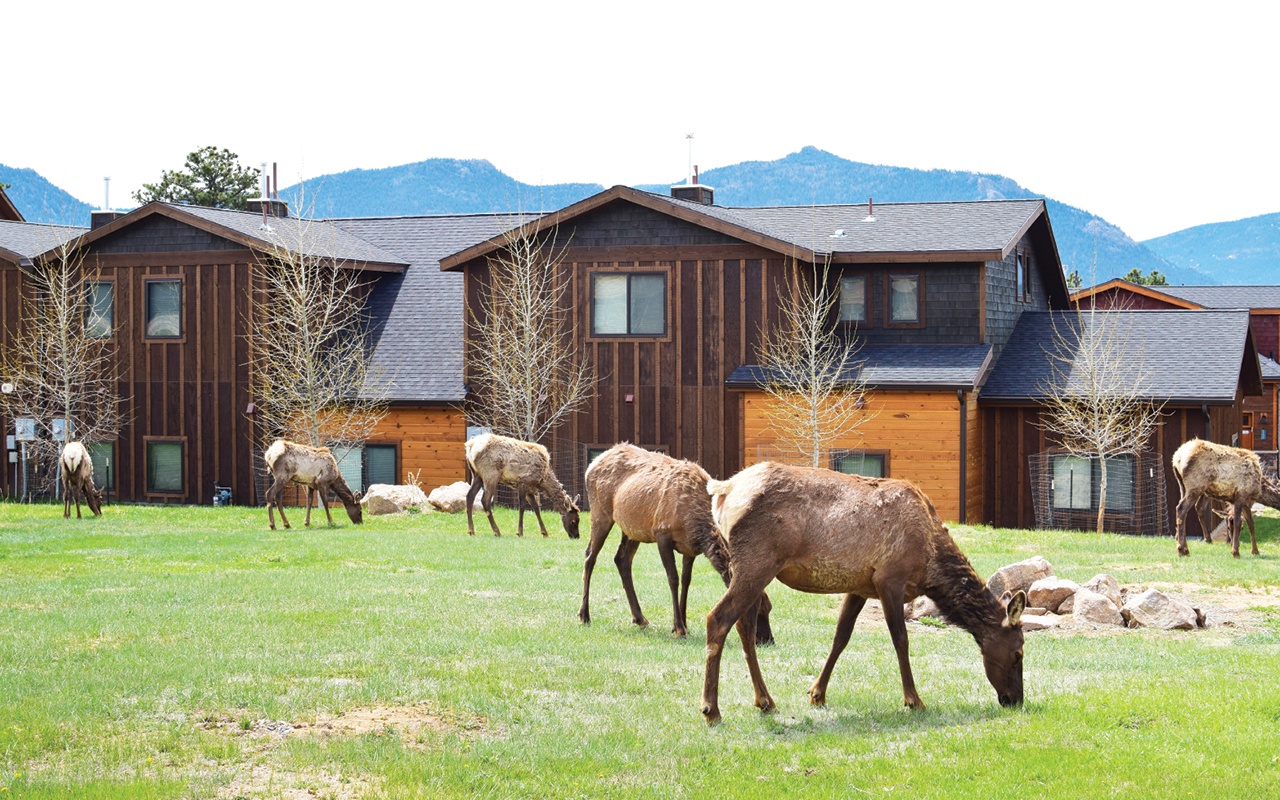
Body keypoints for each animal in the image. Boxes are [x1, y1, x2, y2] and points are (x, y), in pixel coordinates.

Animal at [579, 443, 773, 642]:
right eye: (755, 609)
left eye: (769, 608)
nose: (768, 640)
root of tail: (592, 465)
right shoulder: (662, 533)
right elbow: (673, 578)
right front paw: (679, 628)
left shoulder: (689, 547)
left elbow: (687, 580)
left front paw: (683, 623)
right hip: (601, 513)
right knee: (590, 556)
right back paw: (584, 616)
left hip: (633, 529)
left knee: (621, 559)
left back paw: (640, 618)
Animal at [699, 462, 1026, 725]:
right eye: (1018, 652)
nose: (1015, 700)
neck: (930, 564)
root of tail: (724, 490)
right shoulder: (889, 578)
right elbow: (901, 639)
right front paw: (914, 700)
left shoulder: (859, 586)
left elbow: (840, 637)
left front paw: (817, 694)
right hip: (757, 562)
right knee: (718, 618)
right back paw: (711, 710)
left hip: (748, 567)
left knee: (745, 626)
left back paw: (765, 701)